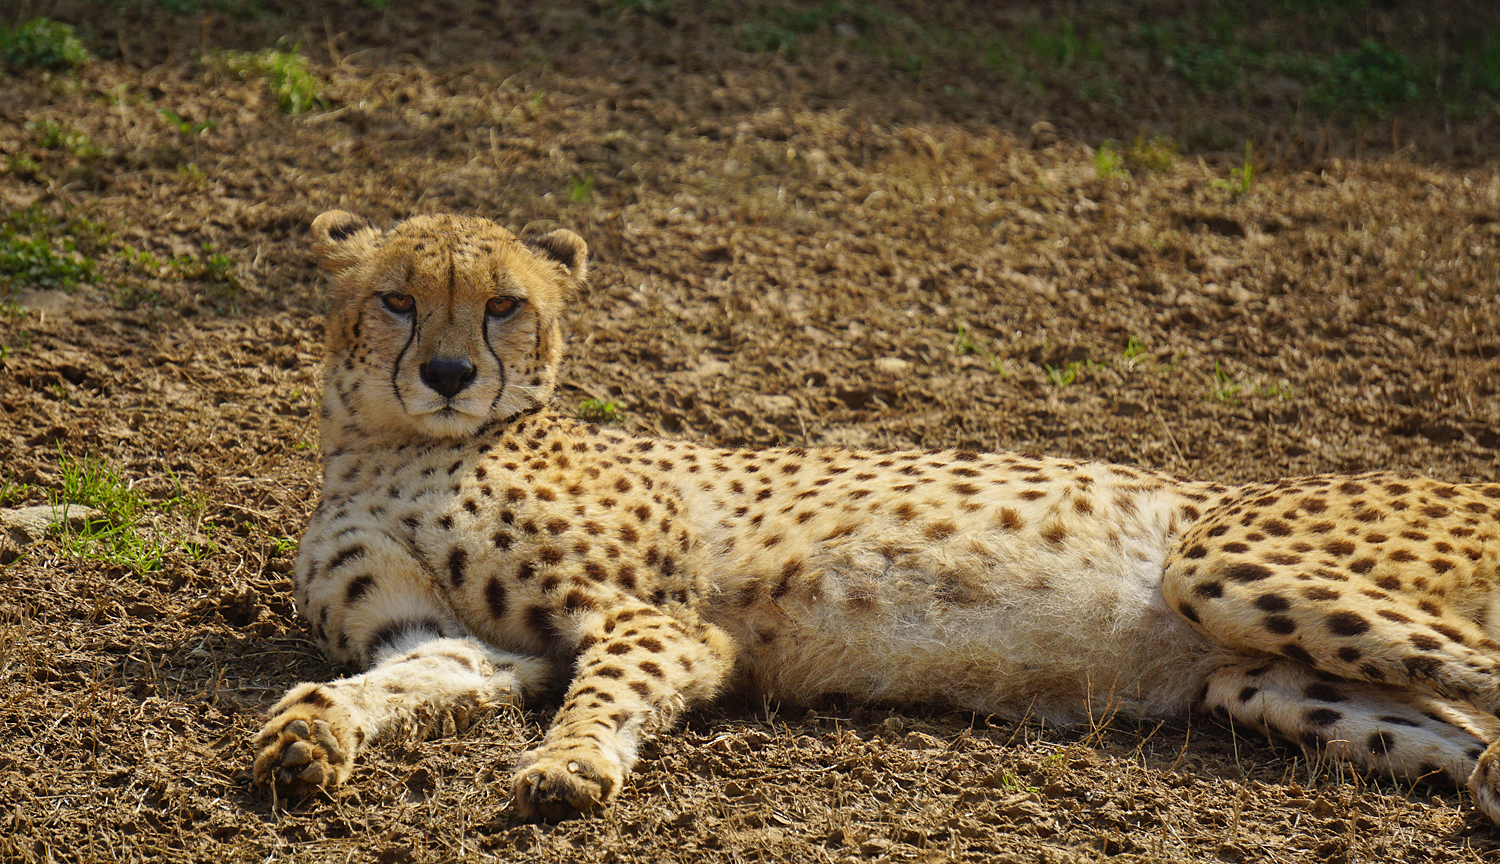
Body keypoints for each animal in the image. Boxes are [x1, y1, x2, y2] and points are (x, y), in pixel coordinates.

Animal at [252, 209, 1500, 825]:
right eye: (395, 299)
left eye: (504, 305)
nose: (450, 373)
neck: (388, 445)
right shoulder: (464, 642)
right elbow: (396, 681)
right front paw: (312, 732)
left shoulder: (655, 621)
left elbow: (605, 688)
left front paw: (570, 768)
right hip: (1260, 680)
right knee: (1465, 732)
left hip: (1223, 563)